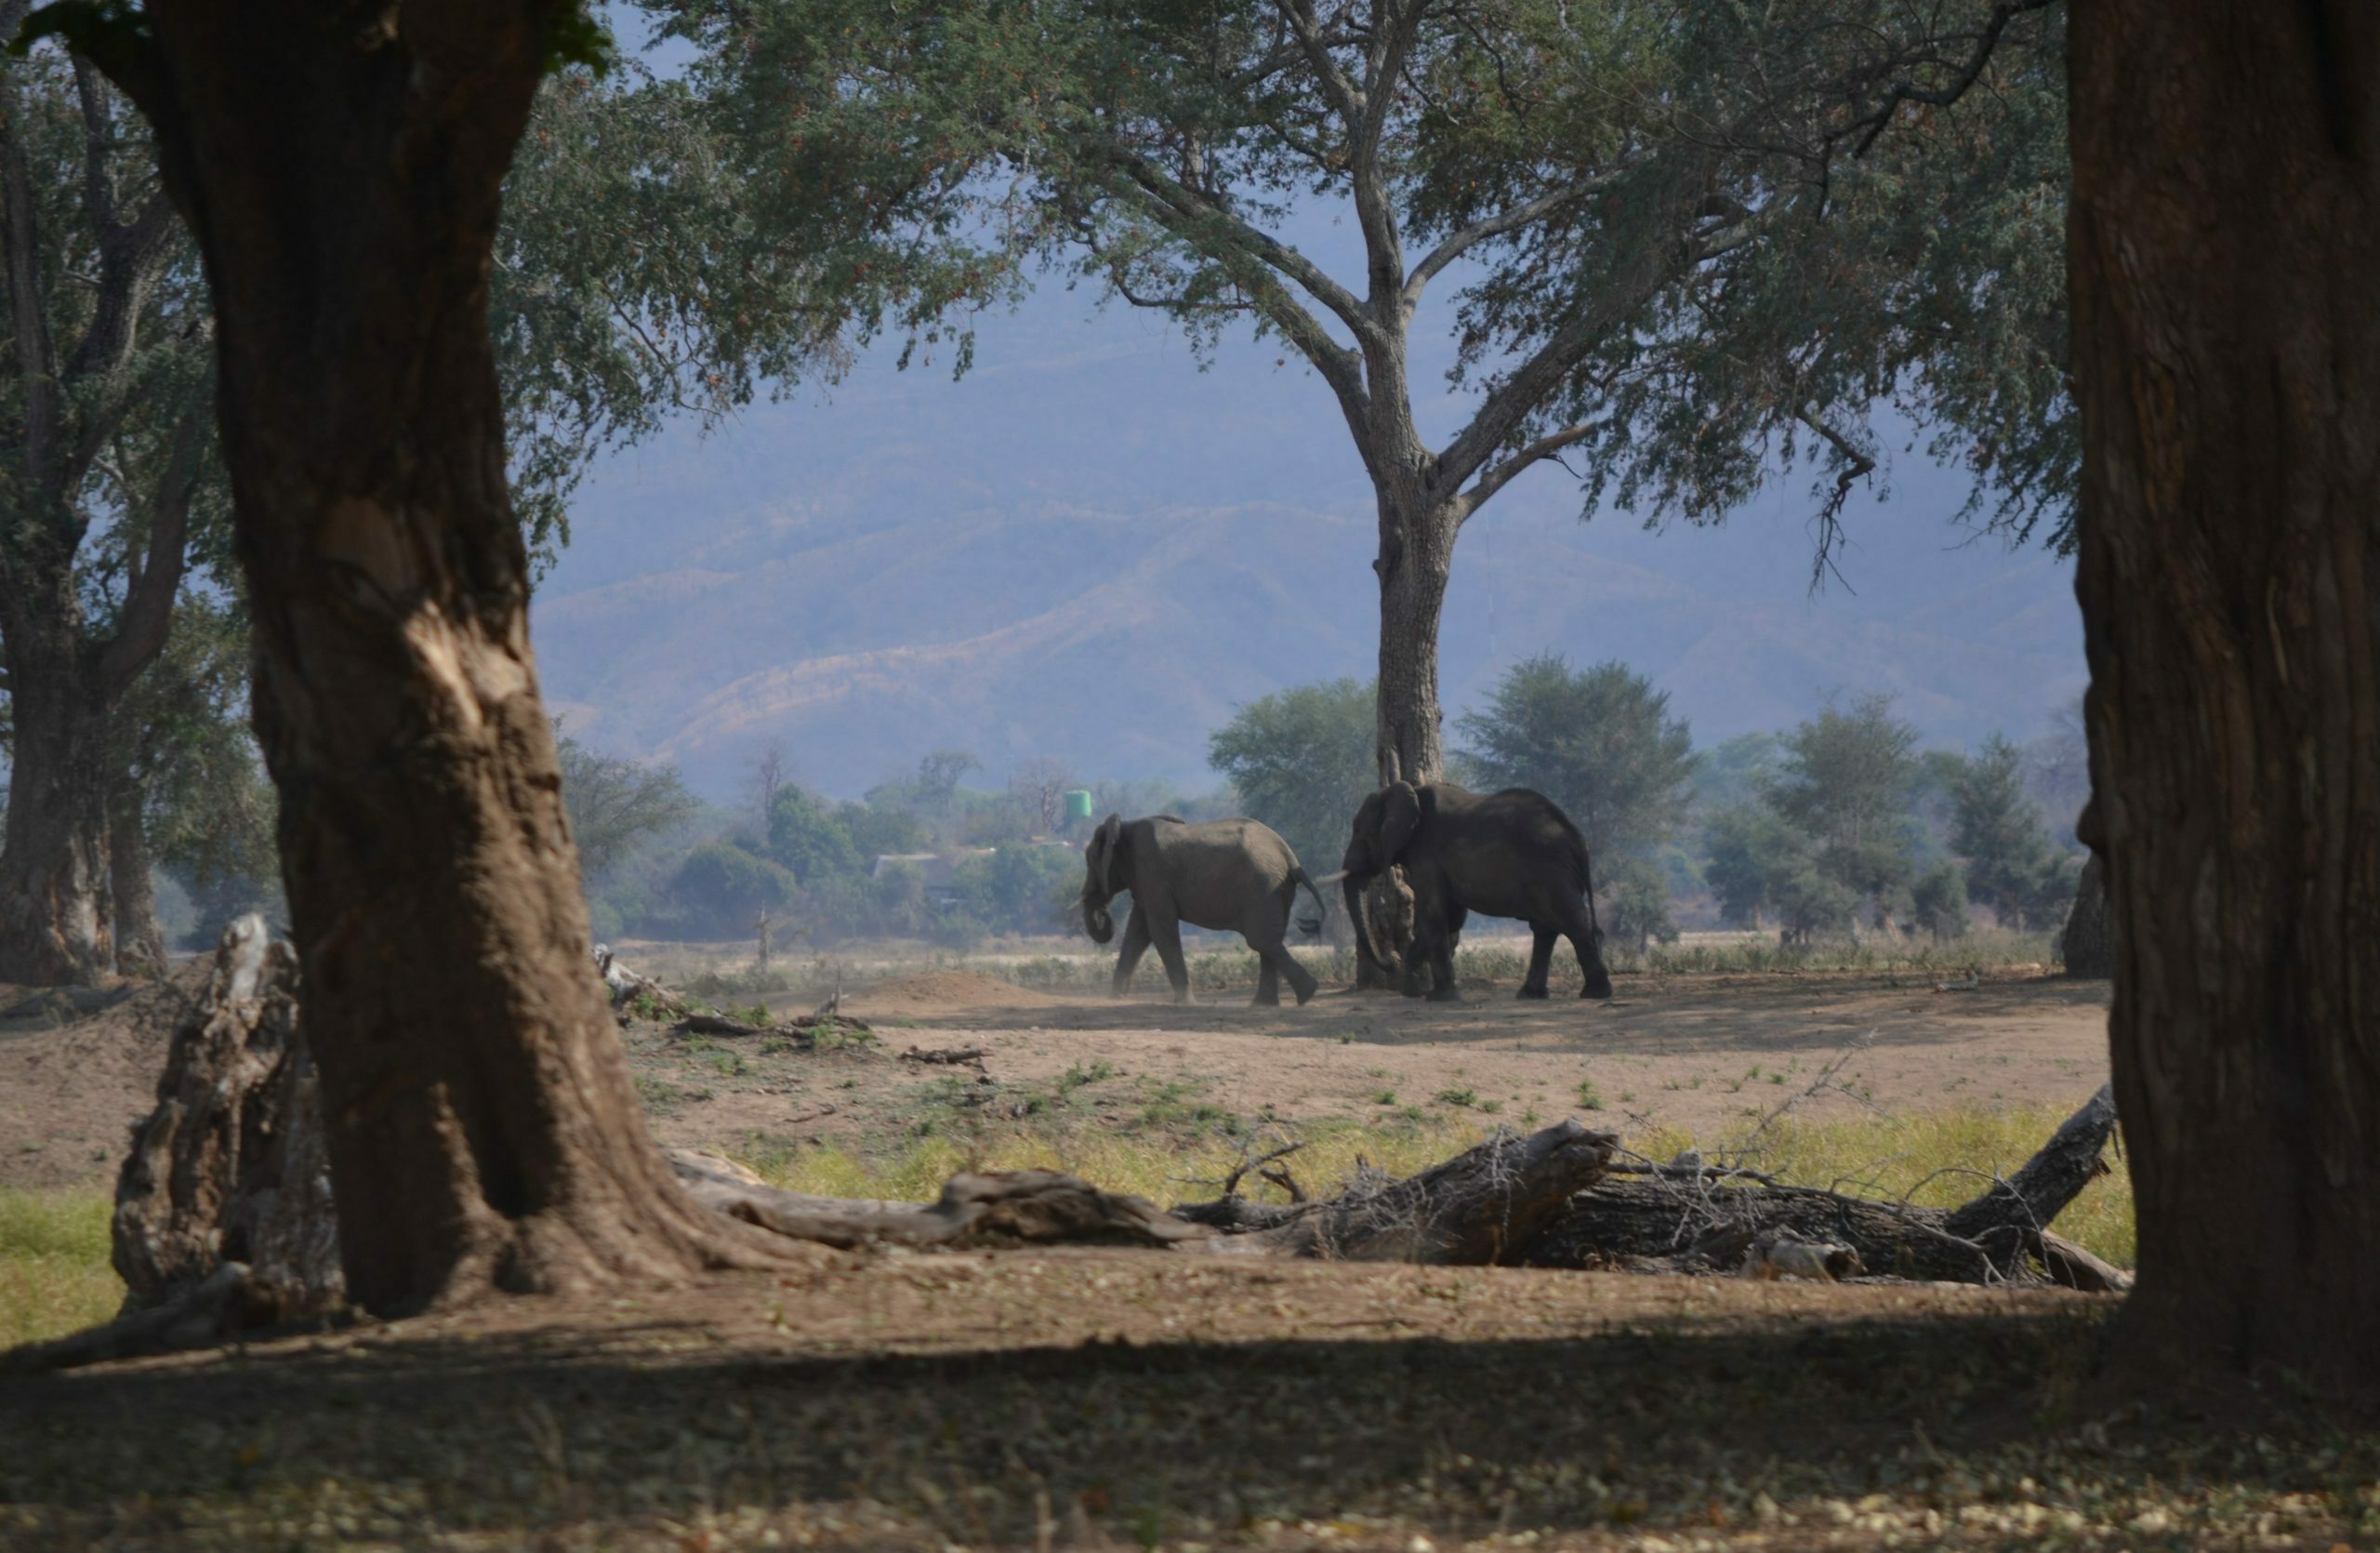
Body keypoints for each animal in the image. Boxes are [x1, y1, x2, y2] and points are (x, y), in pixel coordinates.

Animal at [1080, 814, 1329, 1005]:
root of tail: (1290, 856)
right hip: (1276, 888)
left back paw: (1306, 994)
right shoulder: (1145, 881)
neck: (1125, 826)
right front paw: (1115, 998)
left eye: (1090, 860)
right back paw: (1268, 1004)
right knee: (1268, 941)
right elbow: (1138, 933)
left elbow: (1160, 930)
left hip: (1262, 885)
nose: (1103, 912)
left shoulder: (1152, 875)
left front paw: (1185, 1003)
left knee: (1261, 940)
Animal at [1340, 781, 1616, 1003]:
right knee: (1546, 928)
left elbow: (1434, 916)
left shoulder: (1426, 856)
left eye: (1358, 831)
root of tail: (1577, 837)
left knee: (1571, 921)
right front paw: (1413, 991)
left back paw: (1596, 993)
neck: (1409, 791)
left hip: (1550, 868)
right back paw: (1530, 995)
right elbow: (1450, 919)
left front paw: (1439, 998)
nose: (1392, 957)